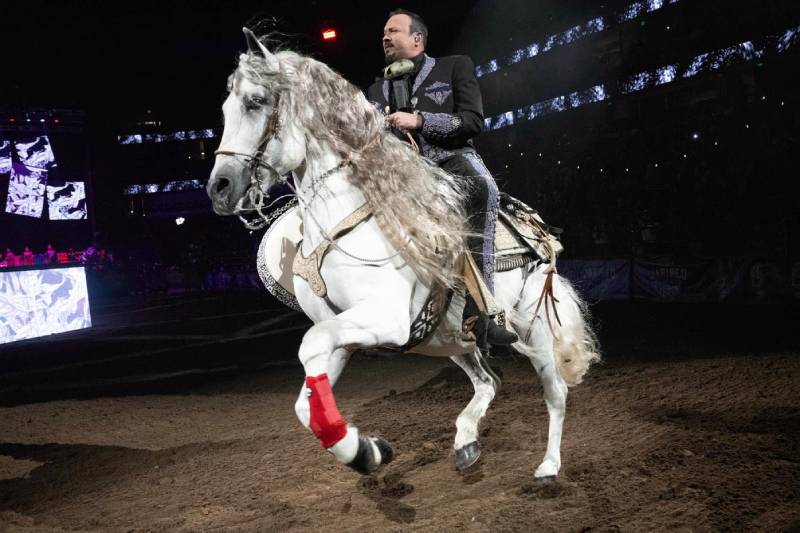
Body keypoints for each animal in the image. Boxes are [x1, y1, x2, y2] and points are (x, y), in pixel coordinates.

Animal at [206, 28, 600, 478]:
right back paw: (466, 442)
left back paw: (548, 467)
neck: (345, 220)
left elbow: (310, 345)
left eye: (256, 101)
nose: (219, 188)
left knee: (555, 393)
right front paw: (366, 450)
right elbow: (305, 398)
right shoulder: (341, 330)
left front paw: (361, 450)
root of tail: (537, 231)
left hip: (535, 327)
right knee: (489, 381)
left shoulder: (385, 317)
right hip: (451, 340)